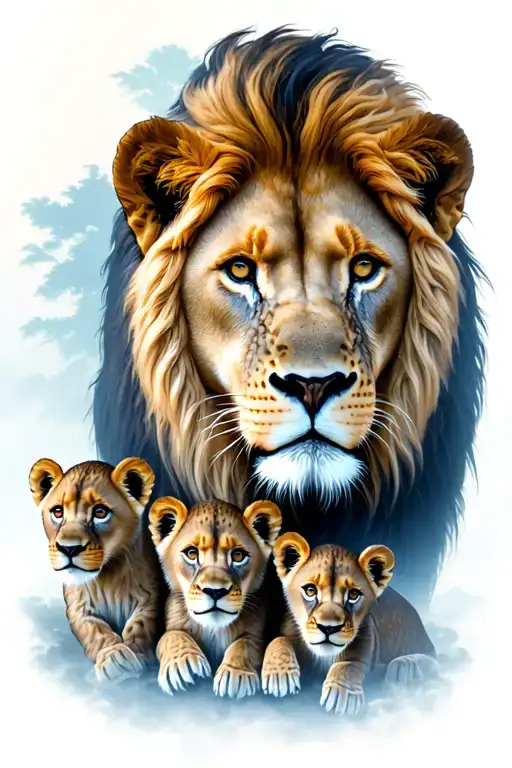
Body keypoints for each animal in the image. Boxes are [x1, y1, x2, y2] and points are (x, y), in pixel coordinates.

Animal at [29, 457, 161, 681]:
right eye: (58, 512)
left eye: (100, 512)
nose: (69, 548)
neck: (107, 575)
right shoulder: (78, 608)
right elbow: (95, 631)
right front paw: (116, 658)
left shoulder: (151, 598)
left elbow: (139, 625)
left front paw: (136, 655)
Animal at [148, 496, 282, 698]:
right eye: (192, 553)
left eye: (238, 555)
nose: (215, 591)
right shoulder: (172, 624)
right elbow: (171, 635)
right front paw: (182, 663)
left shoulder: (257, 634)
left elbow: (245, 644)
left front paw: (235, 675)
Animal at [262, 532, 437, 715]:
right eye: (310, 590)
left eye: (353, 594)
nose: (328, 628)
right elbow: (278, 639)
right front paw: (279, 675)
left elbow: (349, 665)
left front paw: (341, 694)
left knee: (432, 658)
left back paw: (405, 666)